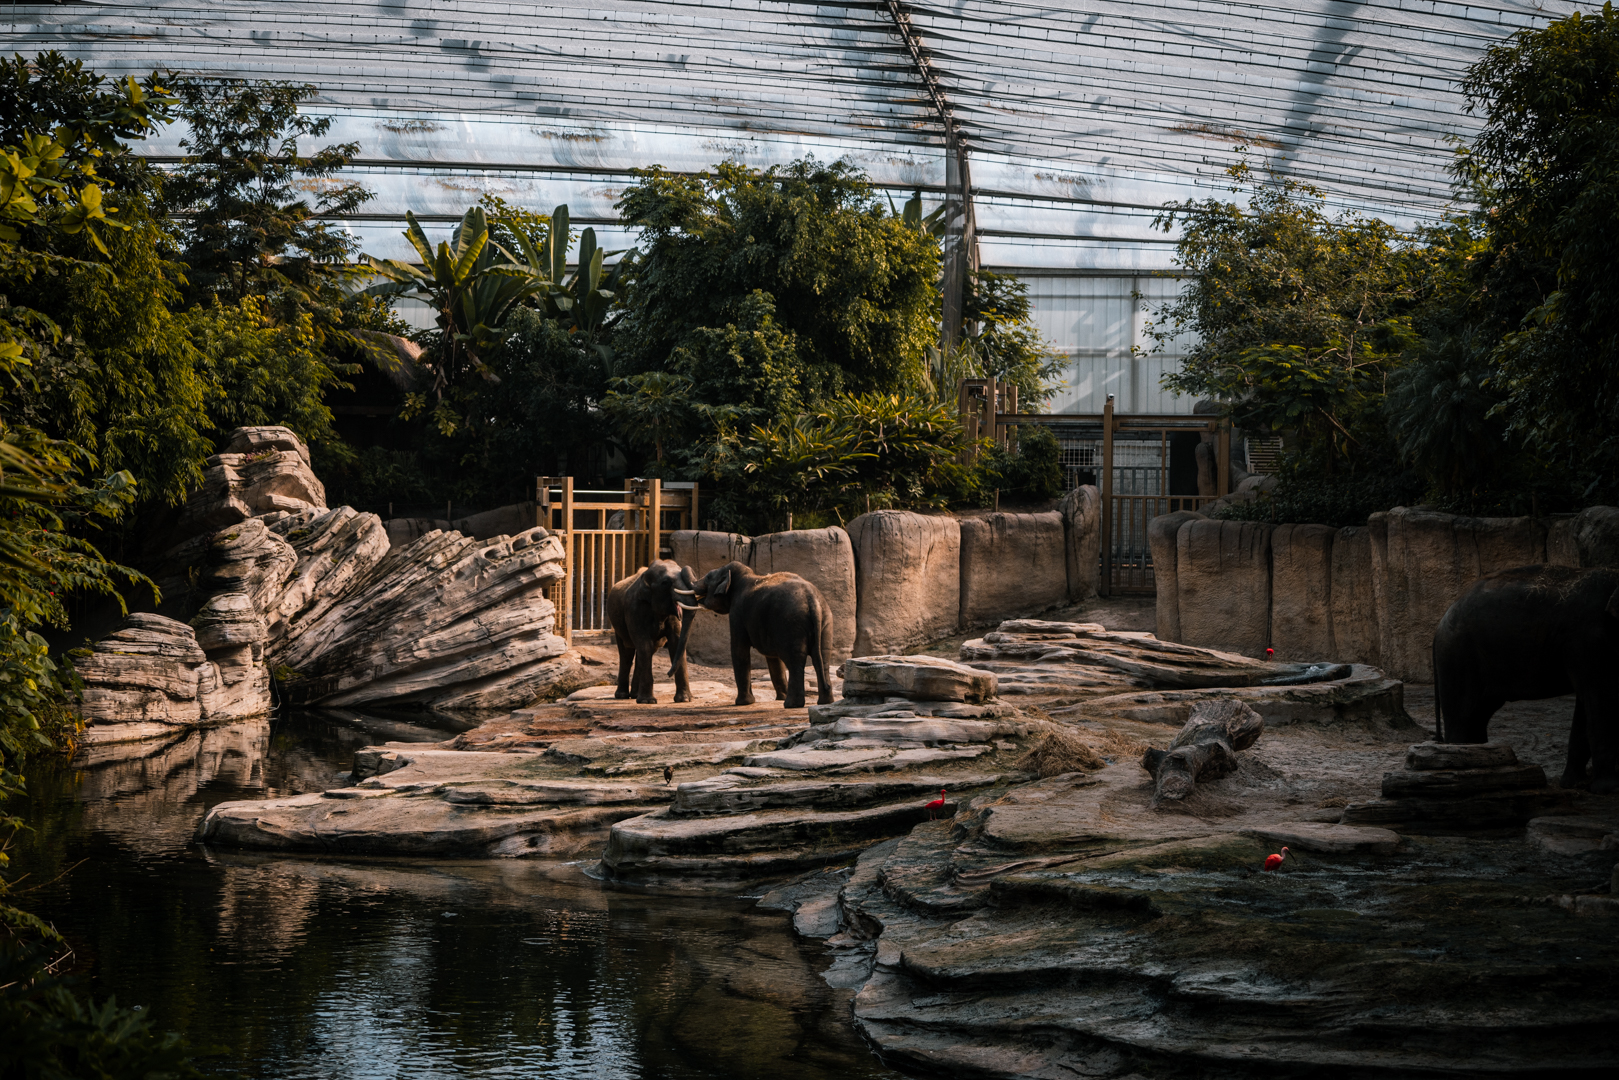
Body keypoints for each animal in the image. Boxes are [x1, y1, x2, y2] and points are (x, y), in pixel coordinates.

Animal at [606, 560, 701, 704]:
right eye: (665, 583)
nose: (668, 673)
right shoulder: (634, 609)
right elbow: (644, 645)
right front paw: (648, 701)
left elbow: (675, 644)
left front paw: (684, 700)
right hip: (618, 627)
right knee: (627, 653)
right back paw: (622, 696)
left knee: (644, 652)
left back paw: (634, 695)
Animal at [684, 560, 834, 709]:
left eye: (709, 576)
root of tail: (812, 600)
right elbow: (773, 658)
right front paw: (780, 697)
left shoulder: (737, 612)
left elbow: (739, 650)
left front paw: (743, 703)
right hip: (825, 621)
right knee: (822, 658)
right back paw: (824, 702)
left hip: (792, 624)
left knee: (794, 660)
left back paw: (791, 705)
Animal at [1432, 564, 1619, 793]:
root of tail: (1439, 624)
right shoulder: (1588, 639)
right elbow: (1600, 699)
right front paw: (1608, 789)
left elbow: (1586, 704)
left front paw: (1574, 784)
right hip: (1457, 657)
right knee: (1463, 715)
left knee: (1478, 713)